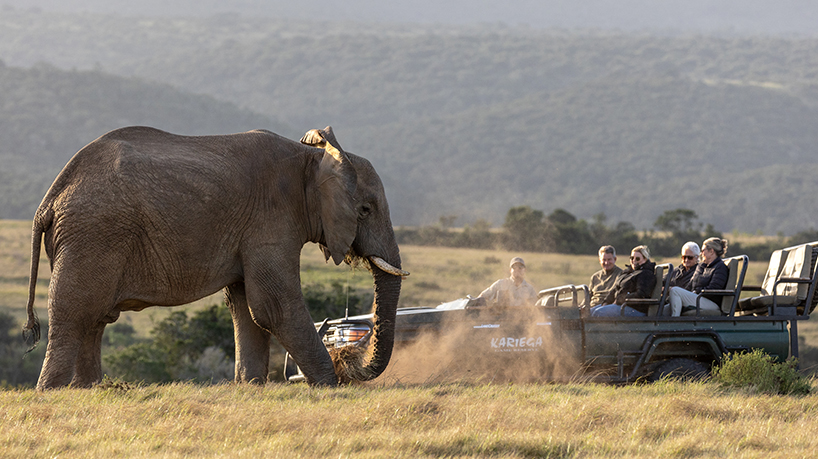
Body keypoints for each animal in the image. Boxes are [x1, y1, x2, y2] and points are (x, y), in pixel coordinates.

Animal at [23, 125, 407, 389]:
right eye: (365, 209)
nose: (344, 362)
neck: (313, 159)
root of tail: (50, 198)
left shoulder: (253, 229)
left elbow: (247, 307)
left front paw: (251, 387)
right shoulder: (271, 219)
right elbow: (274, 306)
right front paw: (330, 387)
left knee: (95, 319)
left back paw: (90, 390)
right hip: (93, 233)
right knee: (74, 313)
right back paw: (52, 393)